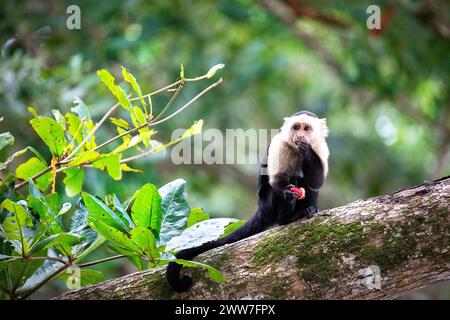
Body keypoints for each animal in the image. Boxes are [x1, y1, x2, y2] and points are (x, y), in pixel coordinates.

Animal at [167, 110, 328, 292]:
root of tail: (261, 210)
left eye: (306, 128)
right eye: (296, 127)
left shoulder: (320, 147)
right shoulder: (279, 144)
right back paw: (286, 217)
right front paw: (288, 194)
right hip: (268, 205)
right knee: (289, 180)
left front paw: (306, 151)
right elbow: (277, 180)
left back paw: (306, 210)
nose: (300, 135)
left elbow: (317, 181)